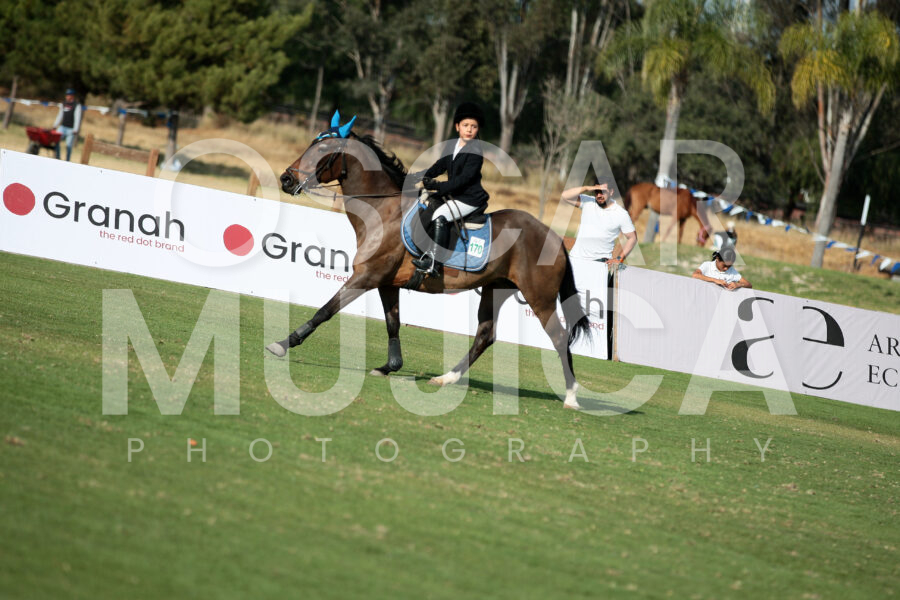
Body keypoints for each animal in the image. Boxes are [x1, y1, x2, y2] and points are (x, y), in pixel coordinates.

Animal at [267, 118, 592, 408]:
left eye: (323, 150)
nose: (286, 179)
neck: (382, 210)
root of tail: (555, 237)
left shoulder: (367, 277)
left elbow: (325, 310)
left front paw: (283, 344)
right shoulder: (386, 283)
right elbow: (392, 323)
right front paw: (390, 366)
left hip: (540, 297)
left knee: (559, 337)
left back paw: (571, 397)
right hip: (495, 289)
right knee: (485, 335)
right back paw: (447, 378)